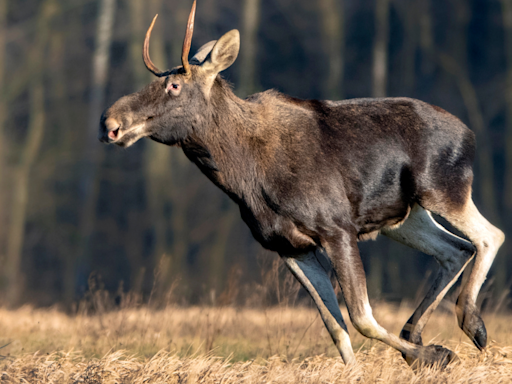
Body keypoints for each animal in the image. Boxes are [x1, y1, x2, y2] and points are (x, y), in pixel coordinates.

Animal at [99, 0, 504, 366]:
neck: (243, 179)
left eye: (174, 85)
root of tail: (470, 134)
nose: (109, 122)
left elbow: (362, 318)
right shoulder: (287, 245)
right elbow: (335, 327)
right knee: (455, 249)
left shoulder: (336, 228)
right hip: (403, 217)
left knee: (489, 235)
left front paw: (437, 354)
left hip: (443, 188)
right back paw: (418, 332)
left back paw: (472, 326)